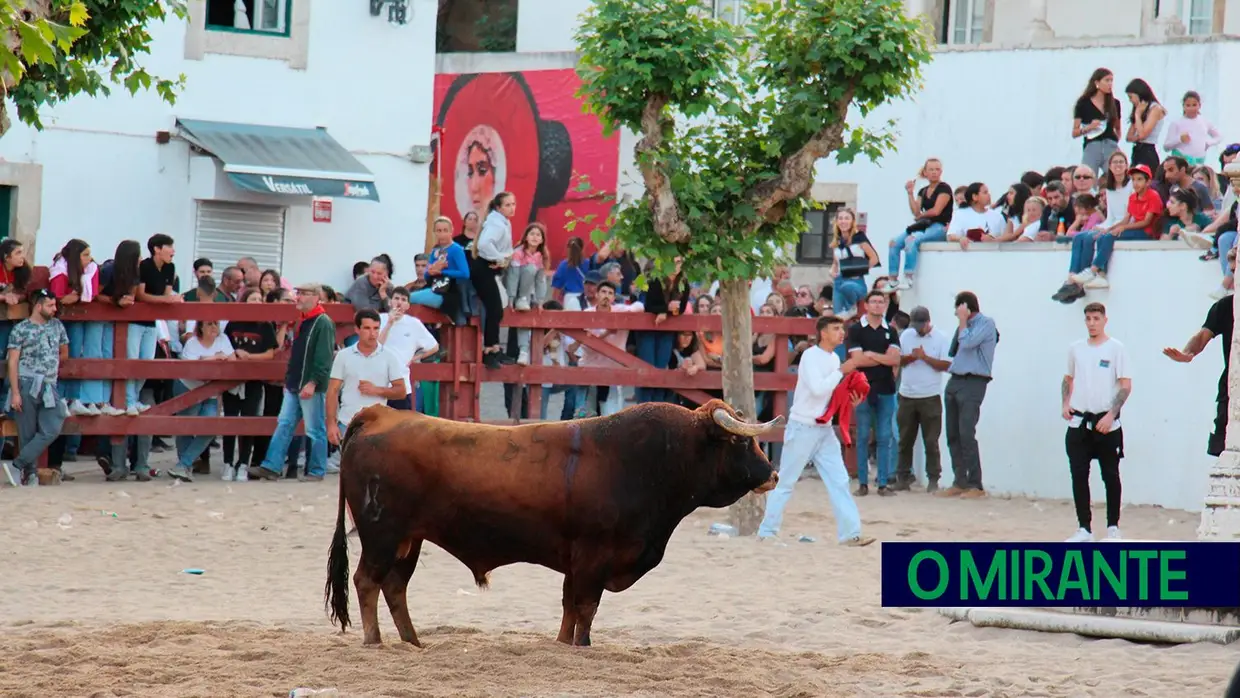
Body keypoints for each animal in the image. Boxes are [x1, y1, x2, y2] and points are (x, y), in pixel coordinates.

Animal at [324, 399, 778, 649]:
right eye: (739, 440)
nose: (772, 474)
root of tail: (377, 413)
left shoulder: (575, 560)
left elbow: (569, 606)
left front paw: (562, 644)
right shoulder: (594, 555)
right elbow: (586, 607)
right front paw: (583, 647)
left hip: (409, 540)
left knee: (394, 587)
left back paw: (412, 643)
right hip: (382, 535)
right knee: (367, 582)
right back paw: (375, 641)